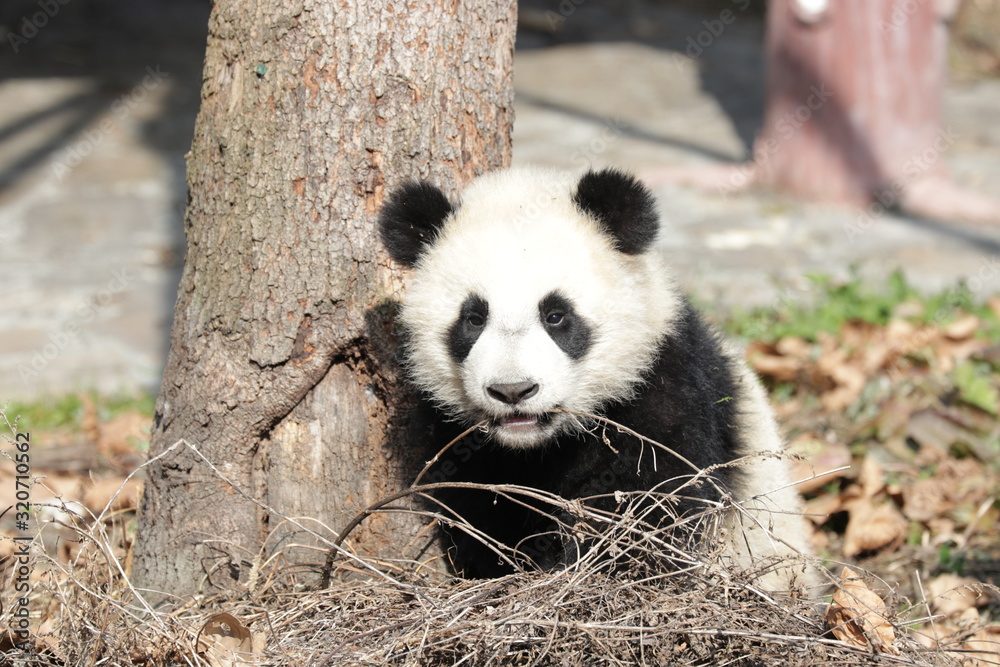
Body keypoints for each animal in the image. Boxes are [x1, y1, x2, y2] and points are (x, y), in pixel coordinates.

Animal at [378, 166, 816, 591]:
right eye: (473, 318)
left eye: (556, 315)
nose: (513, 390)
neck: (535, 444)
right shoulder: (457, 438)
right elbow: (476, 507)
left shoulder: (660, 389)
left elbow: (649, 508)